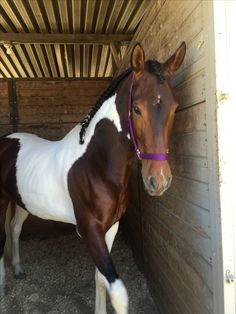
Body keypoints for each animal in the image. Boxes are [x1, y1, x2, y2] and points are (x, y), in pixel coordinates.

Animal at [0, 42, 186, 314]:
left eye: (175, 108)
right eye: (137, 109)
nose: (158, 180)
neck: (95, 163)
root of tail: (7, 139)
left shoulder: (110, 227)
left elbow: (100, 278)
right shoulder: (90, 229)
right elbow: (118, 292)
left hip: (23, 203)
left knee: (14, 229)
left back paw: (18, 269)